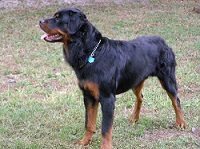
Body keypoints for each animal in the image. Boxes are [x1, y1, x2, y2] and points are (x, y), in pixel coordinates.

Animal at [39, 8, 186, 149]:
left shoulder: (107, 98)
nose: (40, 21)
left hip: (167, 78)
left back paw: (181, 122)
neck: (92, 53)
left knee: (176, 100)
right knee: (140, 97)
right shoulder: (88, 96)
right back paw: (134, 118)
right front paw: (84, 142)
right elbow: (89, 123)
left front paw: (105, 146)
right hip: (135, 80)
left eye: (58, 18)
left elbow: (105, 129)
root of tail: (163, 41)